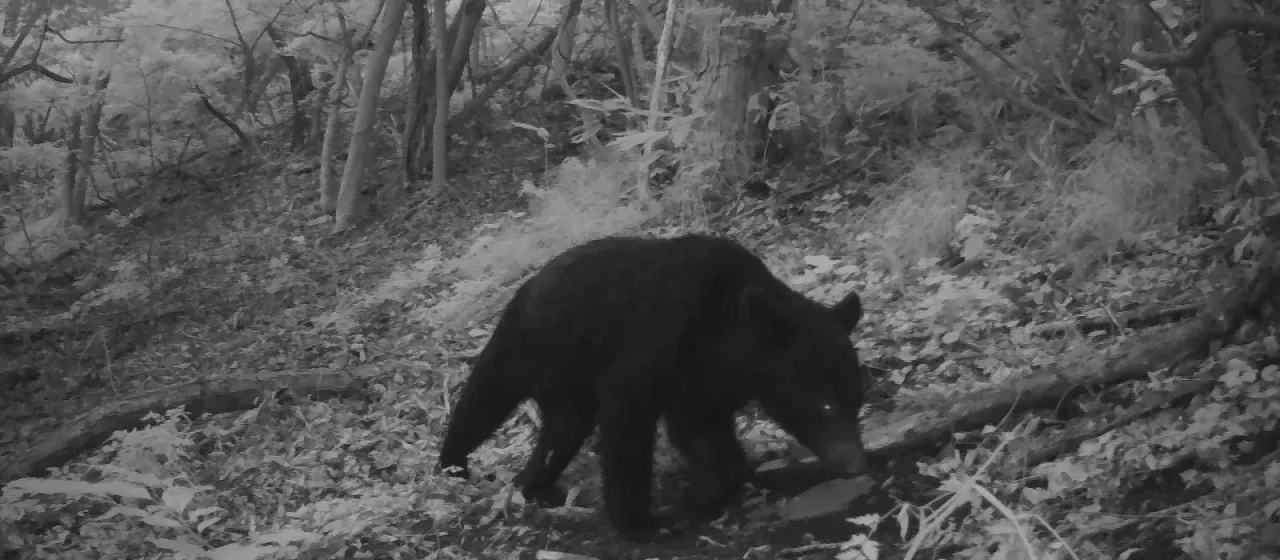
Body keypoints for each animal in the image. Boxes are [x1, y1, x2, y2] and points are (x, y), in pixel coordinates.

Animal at [435, 234, 867, 540]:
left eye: (857, 403)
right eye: (824, 404)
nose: (856, 463)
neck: (726, 332)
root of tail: (522, 289)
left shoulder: (703, 383)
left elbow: (702, 432)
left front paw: (735, 486)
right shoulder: (658, 341)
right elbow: (628, 424)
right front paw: (643, 522)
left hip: (566, 386)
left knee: (561, 432)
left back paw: (536, 488)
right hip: (530, 350)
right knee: (483, 401)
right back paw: (453, 467)